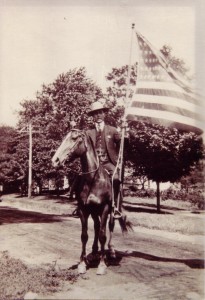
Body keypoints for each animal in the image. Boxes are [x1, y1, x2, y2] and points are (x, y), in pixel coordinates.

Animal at [51, 128, 131, 274]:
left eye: (74, 139)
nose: (55, 160)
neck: (93, 179)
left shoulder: (105, 209)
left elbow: (103, 236)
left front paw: (102, 265)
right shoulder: (84, 210)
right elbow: (84, 235)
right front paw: (82, 263)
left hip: (112, 211)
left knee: (110, 226)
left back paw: (111, 251)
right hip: (94, 212)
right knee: (97, 226)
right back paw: (94, 252)